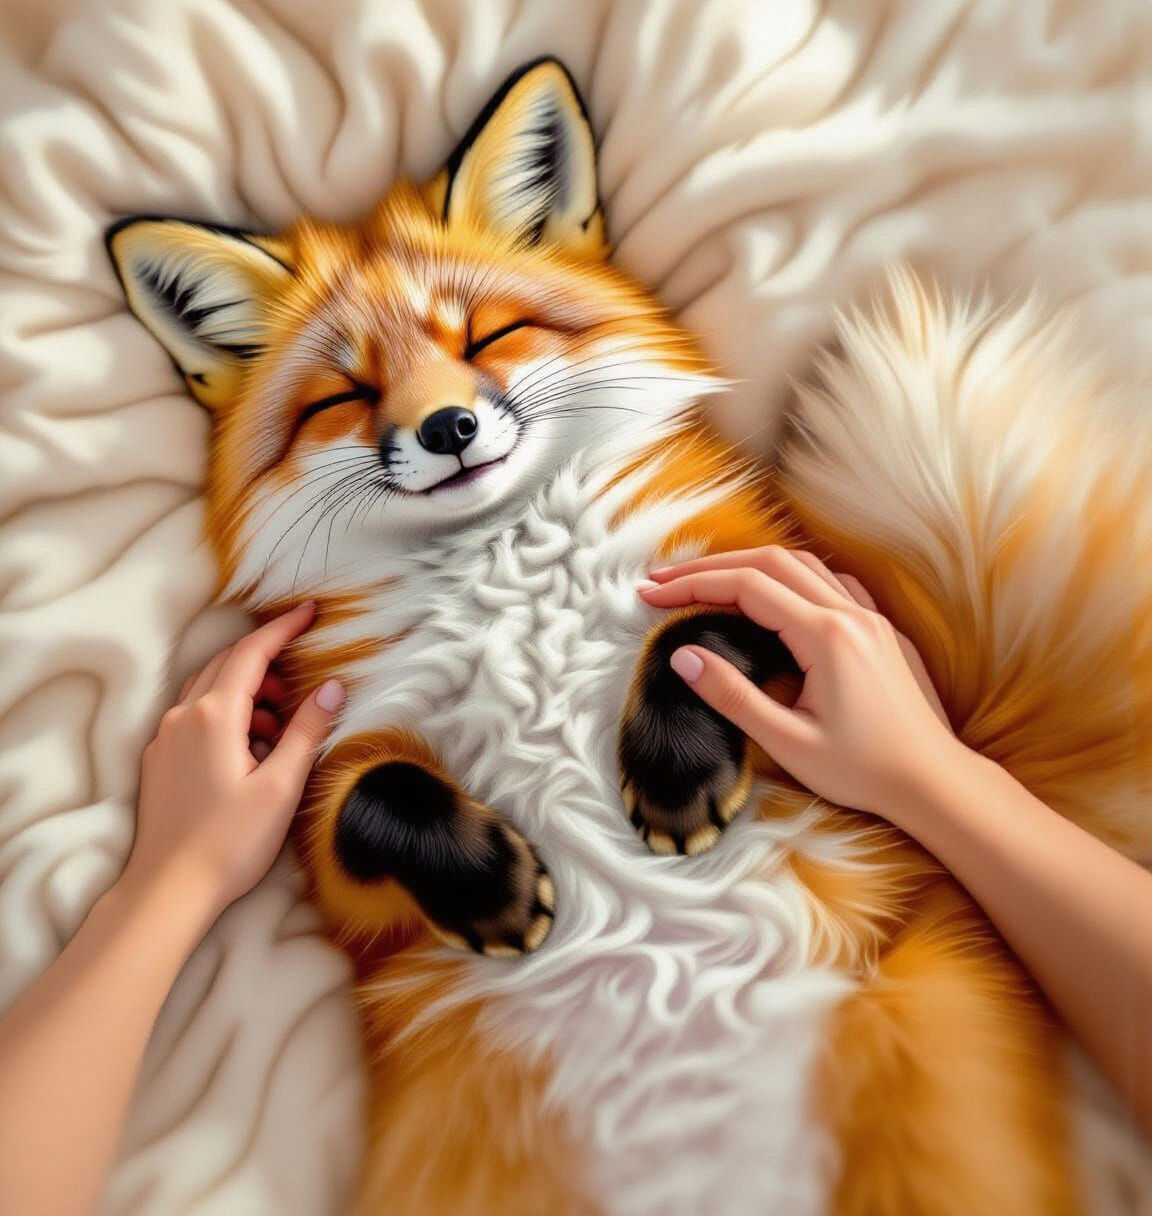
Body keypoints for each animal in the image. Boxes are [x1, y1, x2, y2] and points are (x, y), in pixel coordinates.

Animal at [106, 56, 1152, 1216]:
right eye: (348, 393)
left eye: (487, 337)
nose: (447, 428)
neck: (510, 569)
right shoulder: (334, 796)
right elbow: (380, 797)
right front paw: (494, 890)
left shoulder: (787, 579)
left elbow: (697, 636)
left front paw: (673, 779)